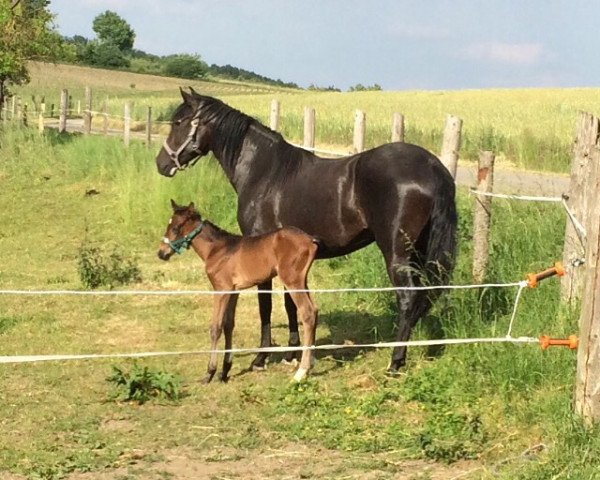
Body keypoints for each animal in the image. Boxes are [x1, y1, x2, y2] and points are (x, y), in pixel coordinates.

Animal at [158, 200, 318, 382]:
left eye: (176, 228)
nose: (161, 253)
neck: (217, 249)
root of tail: (310, 240)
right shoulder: (234, 291)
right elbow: (229, 325)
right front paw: (225, 370)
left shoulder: (221, 289)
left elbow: (216, 327)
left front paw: (210, 372)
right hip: (302, 280)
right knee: (314, 310)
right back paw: (310, 363)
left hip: (291, 280)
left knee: (307, 312)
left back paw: (301, 371)